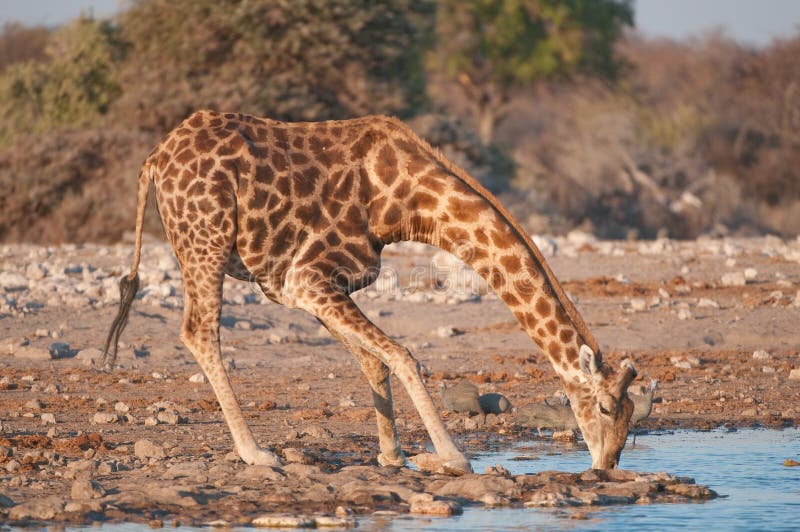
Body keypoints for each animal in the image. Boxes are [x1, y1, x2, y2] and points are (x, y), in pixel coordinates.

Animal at [101, 110, 637, 474]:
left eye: (632, 416)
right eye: (605, 407)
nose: (606, 466)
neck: (407, 202)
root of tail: (155, 160)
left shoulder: (308, 286)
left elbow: (373, 361)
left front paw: (392, 453)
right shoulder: (308, 277)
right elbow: (404, 355)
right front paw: (450, 457)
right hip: (205, 239)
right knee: (198, 330)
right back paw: (256, 453)